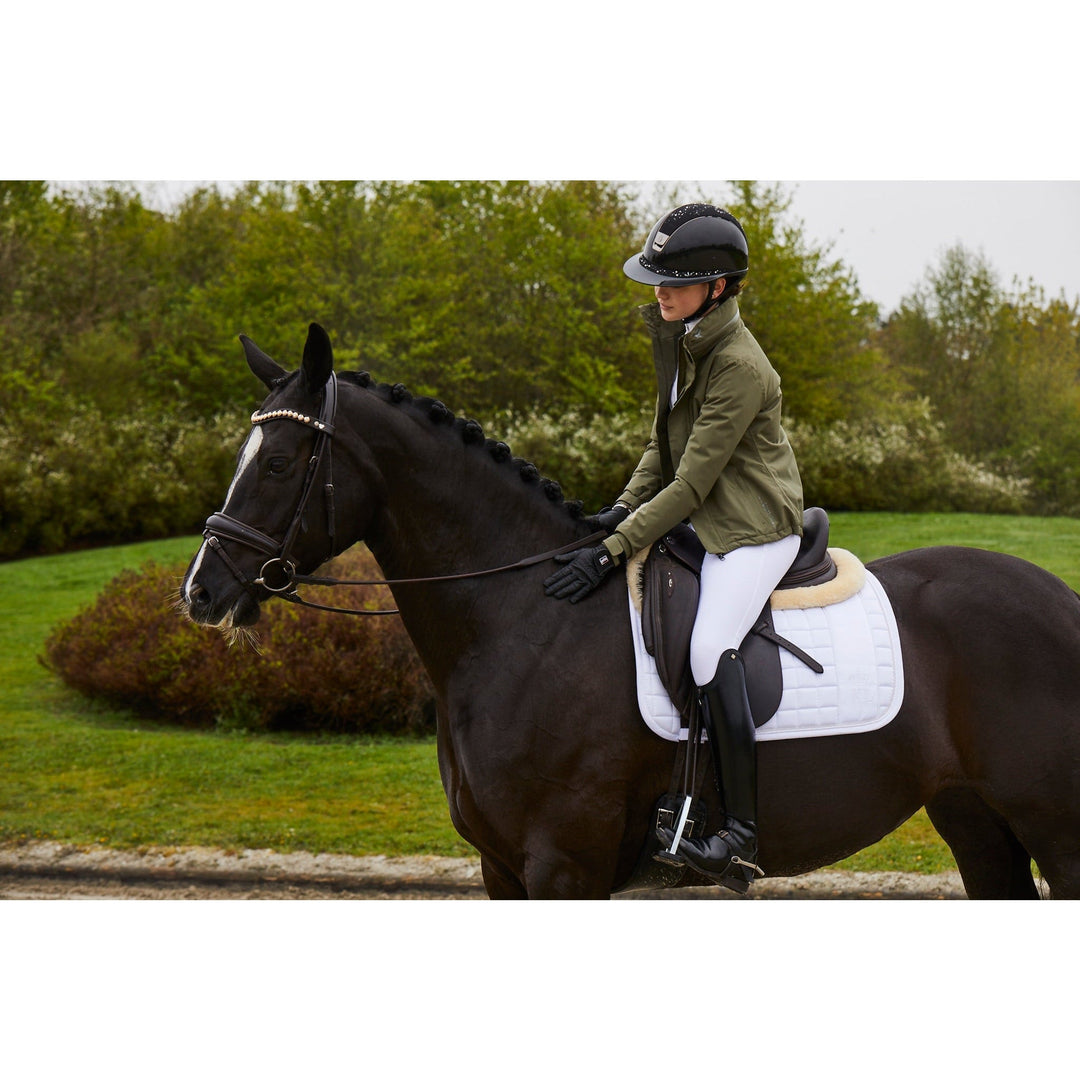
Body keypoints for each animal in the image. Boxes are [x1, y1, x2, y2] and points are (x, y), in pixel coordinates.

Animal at [181, 323, 1080, 899]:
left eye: (282, 461)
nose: (201, 591)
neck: (521, 622)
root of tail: (1059, 598)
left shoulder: (561, 866)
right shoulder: (502, 871)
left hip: (1056, 831)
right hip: (975, 819)